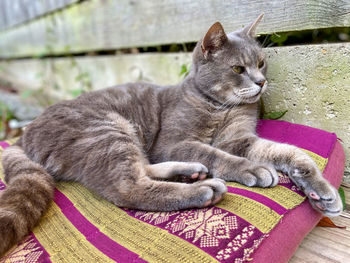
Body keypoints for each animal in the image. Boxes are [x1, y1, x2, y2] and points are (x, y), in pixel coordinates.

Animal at [0, 13, 342, 256]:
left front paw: (320, 191)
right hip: (108, 130)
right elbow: (216, 154)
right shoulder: (174, 143)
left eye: (261, 63)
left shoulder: (239, 139)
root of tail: (26, 133)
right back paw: (202, 188)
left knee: (143, 168)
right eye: (237, 69)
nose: (261, 82)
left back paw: (190, 174)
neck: (219, 107)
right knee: (127, 187)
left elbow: (288, 152)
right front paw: (252, 169)